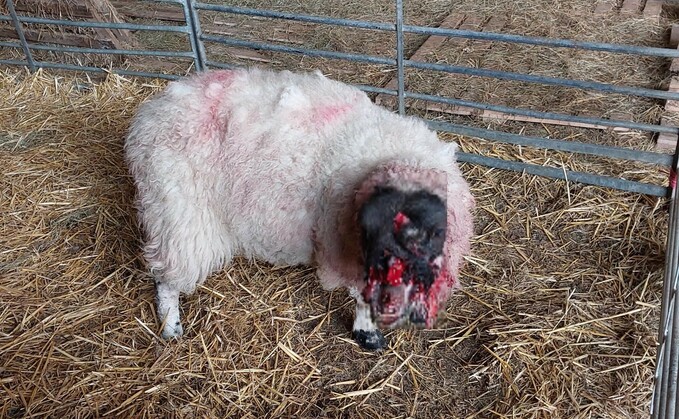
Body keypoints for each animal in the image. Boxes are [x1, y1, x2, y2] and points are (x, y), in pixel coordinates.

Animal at [127, 68, 476, 352]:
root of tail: (151, 113)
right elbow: (362, 297)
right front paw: (367, 334)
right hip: (177, 210)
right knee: (167, 275)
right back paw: (171, 326)